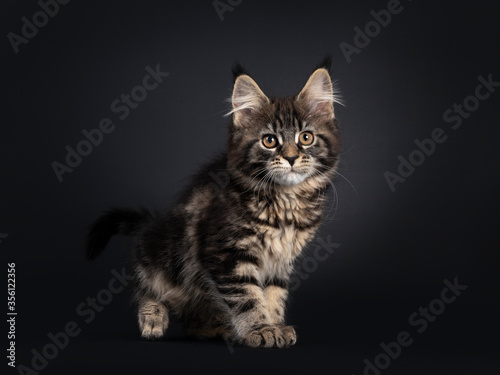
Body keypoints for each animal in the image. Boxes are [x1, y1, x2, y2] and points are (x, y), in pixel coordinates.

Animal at [88, 59, 342, 350]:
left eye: (306, 138)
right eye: (269, 141)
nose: (290, 158)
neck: (285, 202)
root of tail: (152, 225)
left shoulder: (280, 261)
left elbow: (273, 295)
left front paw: (275, 325)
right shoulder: (226, 253)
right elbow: (248, 297)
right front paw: (261, 328)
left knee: (192, 324)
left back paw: (221, 329)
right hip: (163, 252)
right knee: (147, 285)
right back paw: (153, 319)